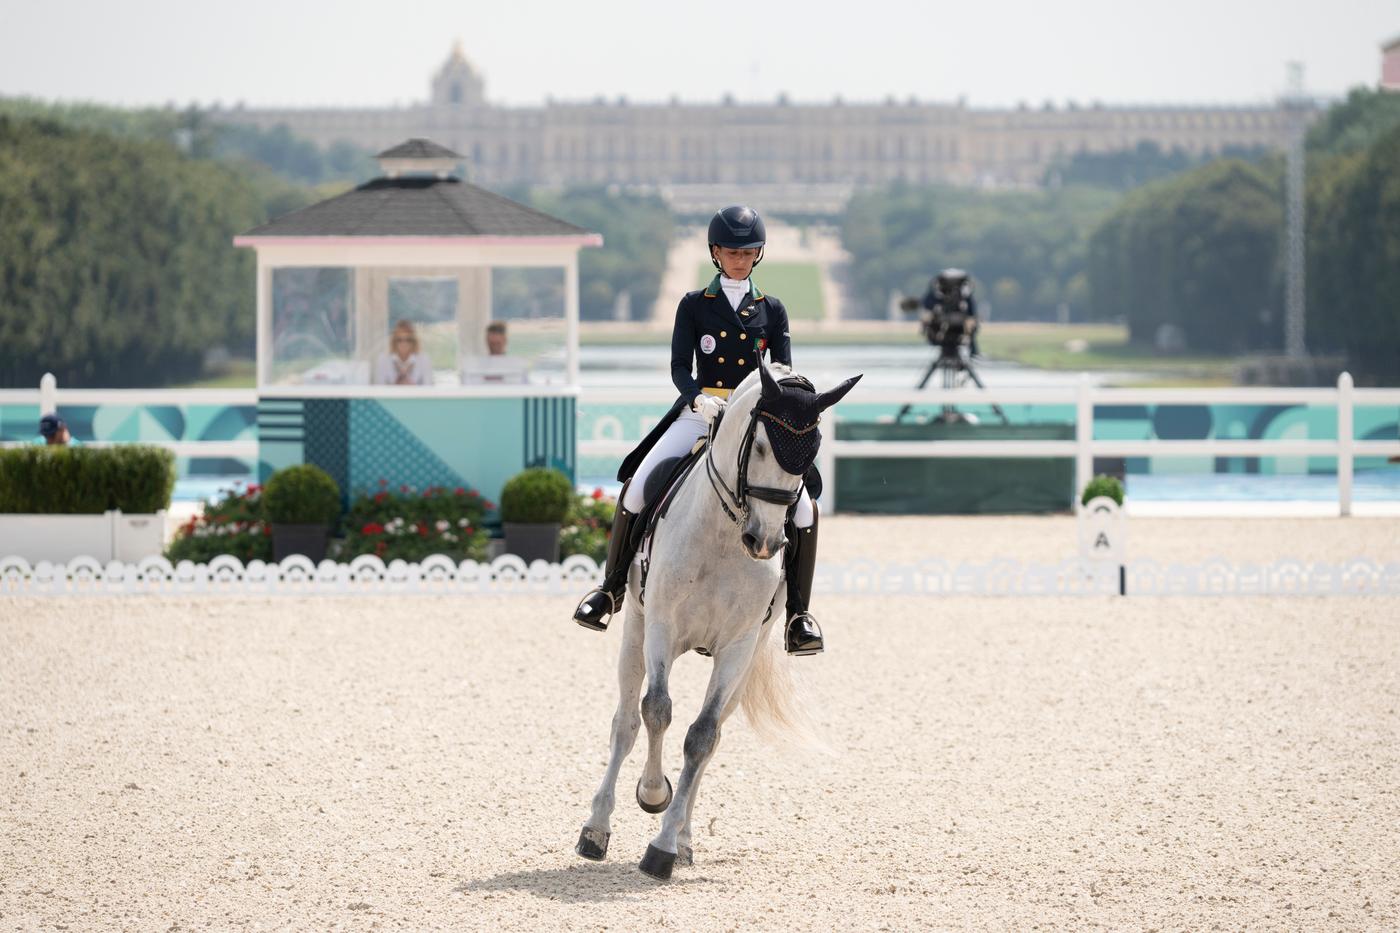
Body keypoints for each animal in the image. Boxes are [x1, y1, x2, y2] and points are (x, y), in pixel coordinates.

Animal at [574, 357, 856, 879]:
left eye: (812, 453)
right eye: (760, 445)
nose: (765, 542)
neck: (725, 535)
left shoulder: (738, 647)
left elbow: (702, 737)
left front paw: (664, 847)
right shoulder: (661, 627)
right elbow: (656, 710)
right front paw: (652, 794)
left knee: (713, 735)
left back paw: (683, 840)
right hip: (634, 629)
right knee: (625, 722)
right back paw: (595, 830)